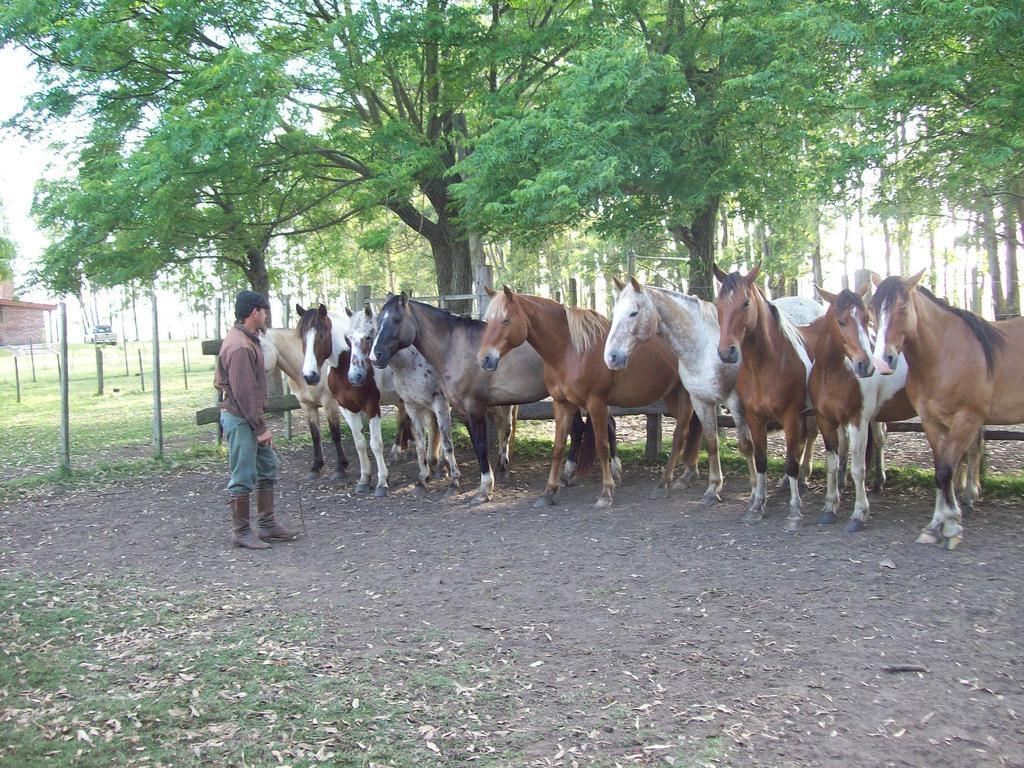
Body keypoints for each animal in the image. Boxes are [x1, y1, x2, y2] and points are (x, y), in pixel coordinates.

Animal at [477, 286, 700, 507]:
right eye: (488, 321)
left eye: (506, 320)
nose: (484, 359)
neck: (570, 351)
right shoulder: (562, 404)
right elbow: (558, 447)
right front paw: (549, 492)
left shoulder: (596, 403)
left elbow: (602, 446)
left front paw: (606, 492)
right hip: (673, 397)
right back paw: (687, 475)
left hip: (685, 396)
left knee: (680, 436)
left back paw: (664, 484)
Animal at [712, 264, 815, 528]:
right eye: (718, 304)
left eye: (745, 302)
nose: (726, 353)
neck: (765, 365)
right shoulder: (755, 418)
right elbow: (760, 460)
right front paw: (757, 505)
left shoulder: (790, 416)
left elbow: (790, 463)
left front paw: (794, 511)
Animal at [868, 270, 1024, 548]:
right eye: (873, 308)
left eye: (903, 306)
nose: (882, 361)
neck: (943, 356)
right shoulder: (932, 421)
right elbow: (941, 468)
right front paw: (939, 524)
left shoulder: (967, 417)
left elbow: (946, 469)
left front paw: (949, 525)